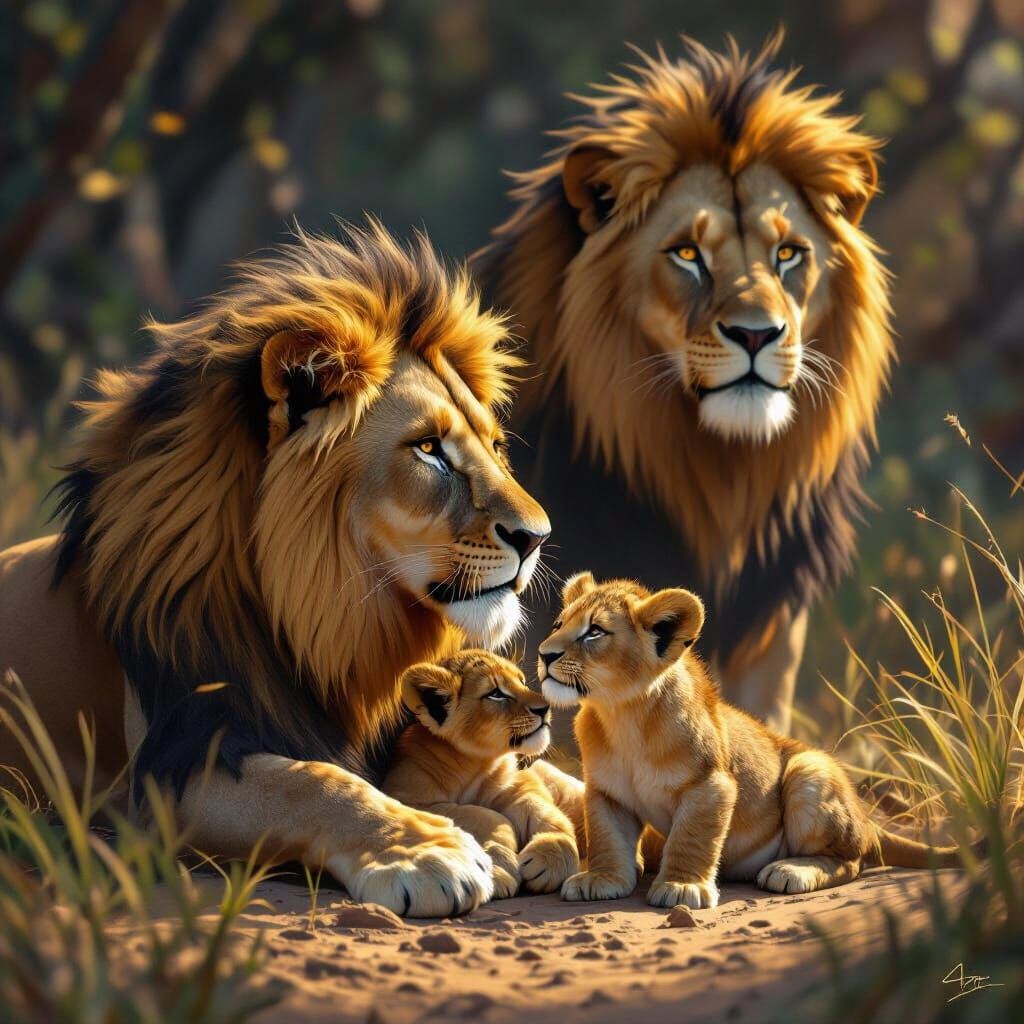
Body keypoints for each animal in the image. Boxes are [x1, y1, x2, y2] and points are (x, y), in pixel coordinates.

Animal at [0, 222, 553, 917]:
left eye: (495, 446)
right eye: (429, 449)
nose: (537, 537)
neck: (336, 630)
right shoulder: (173, 768)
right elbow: (315, 781)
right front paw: (427, 852)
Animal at [383, 649, 580, 898]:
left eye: (522, 682)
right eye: (496, 694)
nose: (545, 707)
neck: (477, 765)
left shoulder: (520, 783)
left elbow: (546, 813)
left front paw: (550, 856)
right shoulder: (404, 796)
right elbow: (481, 814)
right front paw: (502, 859)